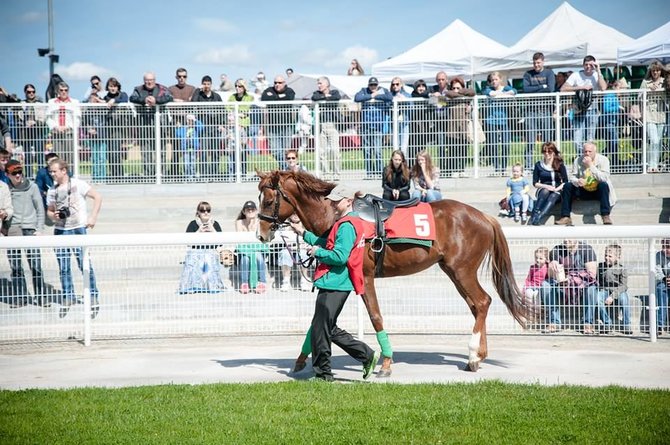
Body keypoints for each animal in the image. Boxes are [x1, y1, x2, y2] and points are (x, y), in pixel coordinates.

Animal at [258, 172, 536, 372]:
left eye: (269, 201)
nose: (261, 235)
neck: (337, 216)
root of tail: (484, 217)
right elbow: (319, 320)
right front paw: (300, 360)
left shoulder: (365, 277)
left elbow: (374, 316)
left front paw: (385, 362)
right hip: (452, 270)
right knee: (477, 305)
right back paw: (477, 356)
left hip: (462, 270)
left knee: (482, 301)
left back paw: (473, 355)